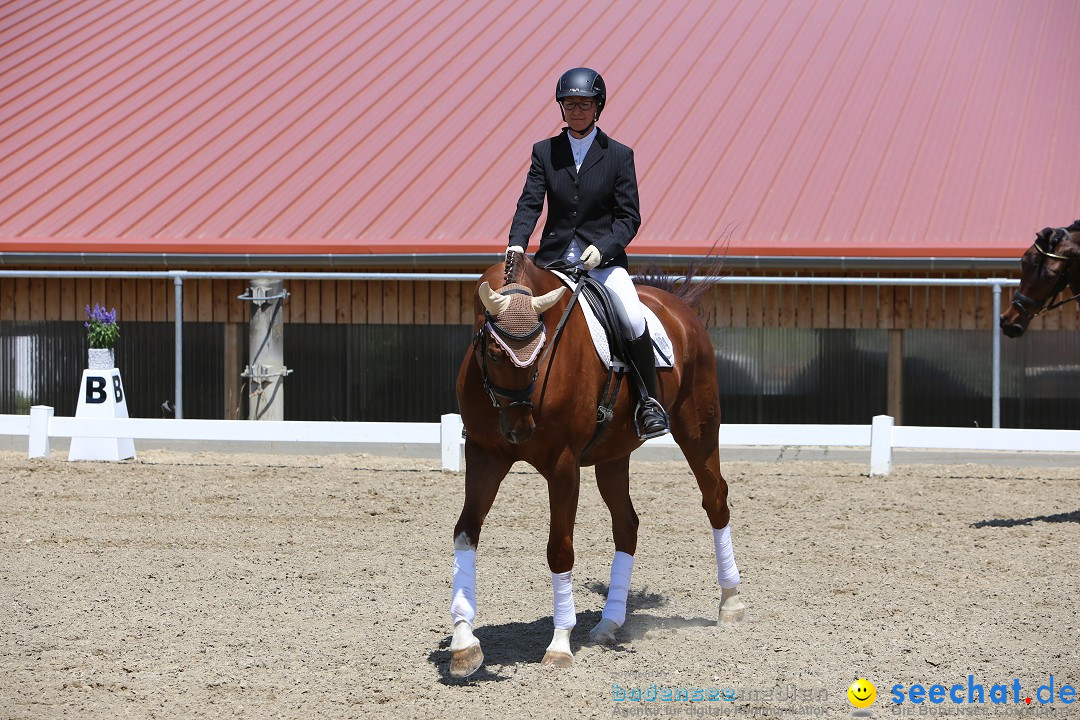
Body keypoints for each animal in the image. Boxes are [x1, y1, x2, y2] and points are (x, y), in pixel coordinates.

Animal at [447, 250, 743, 677]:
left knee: (715, 499)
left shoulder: (563, 464)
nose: (520, 430)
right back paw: (609, 622)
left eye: (541, 352)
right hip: (613, 455)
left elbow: (559, 549)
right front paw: (463, 644)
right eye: (494, 353)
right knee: (627, 524)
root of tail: (677, 307)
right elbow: (466, 533)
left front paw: (559, 646)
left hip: (698, 429)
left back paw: (730, 603)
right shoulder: (485, 455)